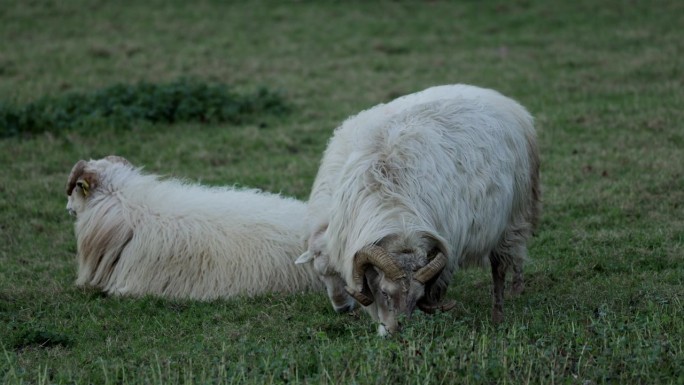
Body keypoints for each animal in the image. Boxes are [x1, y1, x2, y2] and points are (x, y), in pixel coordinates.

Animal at [298, 84, 540, 332]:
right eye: (322, 276)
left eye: (416, 297)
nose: (342, 309)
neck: (395, 210)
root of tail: (507, 103)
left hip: (512, 217)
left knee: (503, 264)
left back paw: (504, 306)